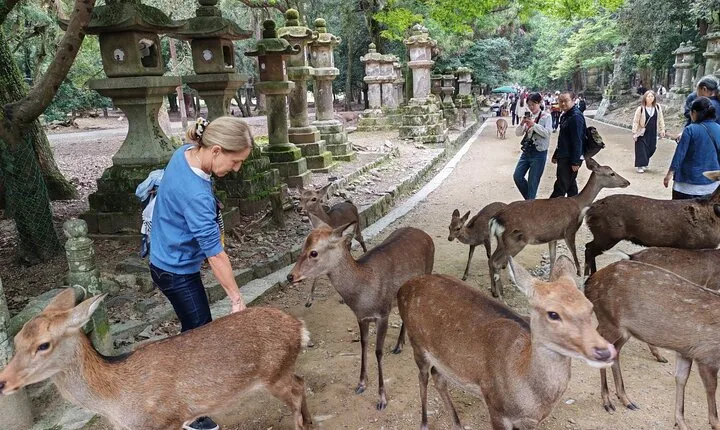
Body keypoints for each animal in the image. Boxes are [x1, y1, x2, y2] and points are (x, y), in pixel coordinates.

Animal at [0, 289, 312, 430]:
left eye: (43, 345)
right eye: (16, 341)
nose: (3, 382)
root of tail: (299, 327)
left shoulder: (165, 420)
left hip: (275, 373)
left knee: (297, 390)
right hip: (282, 371)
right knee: (301, 381)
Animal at [287, 220, 434, 411]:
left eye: (314, 252)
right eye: (302, 246)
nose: (290, 276)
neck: (362, 296)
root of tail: (426, 235)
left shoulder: (383, 313)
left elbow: (378, 352)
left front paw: (382, 399)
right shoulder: (361, 317)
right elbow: (363, 345)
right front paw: (361, 384)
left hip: (427, 273)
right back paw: (399, 344)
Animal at [397, 255, 616, 430]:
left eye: (590, 306)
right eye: (553, 314)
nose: (605, 351)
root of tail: (403, 287)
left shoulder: (531, 422)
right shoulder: (495, 408)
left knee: (438, 376)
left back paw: (457, 423)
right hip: (417, 343)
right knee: (423, 378)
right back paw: (424, 423)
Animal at [488, 158, 630, 299]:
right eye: (611, 173)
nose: (627, 182)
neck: (579, 205)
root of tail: (495, 219)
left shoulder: (553, 237)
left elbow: (553, 257)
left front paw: (550, 280)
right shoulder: (570, 231)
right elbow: (575, 257)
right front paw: (578, 278)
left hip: (501, 241)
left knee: (491, 259)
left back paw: (495, 291)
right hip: (515, 241)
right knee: (497, 262)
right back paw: (500, 295)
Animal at [585, 259, 720, 430]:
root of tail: (589, 283)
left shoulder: (686, 351)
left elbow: (681, 378)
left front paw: (680, 422)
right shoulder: (707, 355)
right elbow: (711, 391)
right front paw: (713, 423)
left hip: (625, 330)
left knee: (615, 351)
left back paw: (626, 399)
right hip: (609, 321)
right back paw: (607, 401)